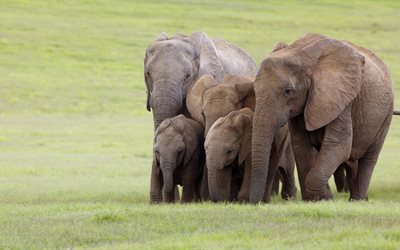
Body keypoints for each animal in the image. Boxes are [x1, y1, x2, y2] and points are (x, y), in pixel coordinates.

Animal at [250, 32, 394, 203]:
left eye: (288, 91)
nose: (258, 202)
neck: (300, 53)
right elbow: (301, 146)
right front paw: (315, 199)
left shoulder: (341, 99)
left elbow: (338, 145)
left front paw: (324, 198)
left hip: (386, 113)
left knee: (369, 158)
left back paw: (357, 199)